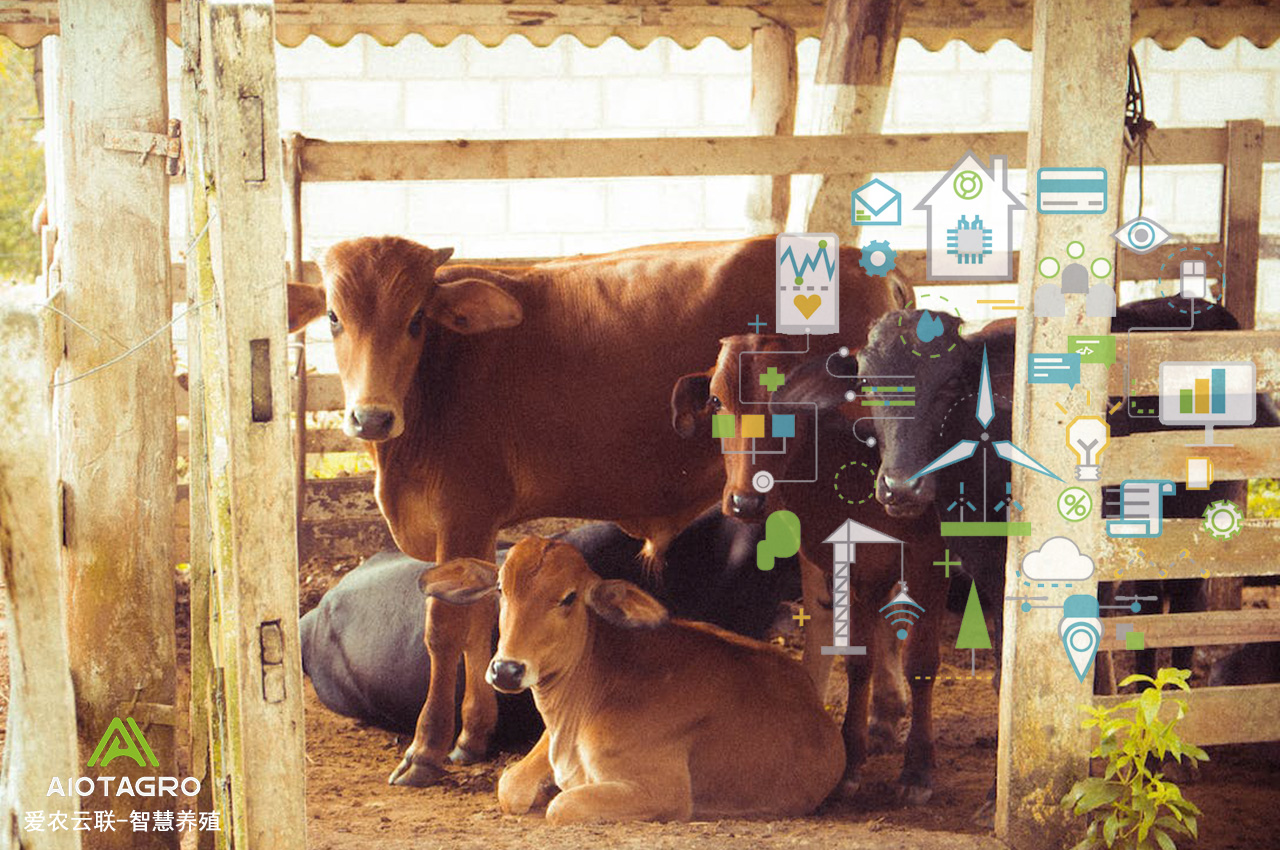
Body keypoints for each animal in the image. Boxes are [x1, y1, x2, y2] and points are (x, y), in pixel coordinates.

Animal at [419, 537, 844, 824]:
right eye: (500, 589)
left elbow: (562, 806)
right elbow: (509, 787)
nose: (507, 670)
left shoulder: (663, 791)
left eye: (569, 598)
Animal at [675, 335, 947, 798]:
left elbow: (921, 663)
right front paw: (850, 760)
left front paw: (917, 771)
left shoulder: (929, 558)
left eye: (790, 403)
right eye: (715, 400)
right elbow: (859, 661)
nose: (746, 501)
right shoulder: (855, 568)